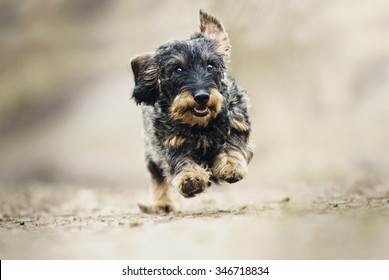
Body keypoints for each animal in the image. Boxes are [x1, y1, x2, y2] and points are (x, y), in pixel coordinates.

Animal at [129, 9, 253, 213]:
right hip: (151, 154)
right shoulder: (170, 143)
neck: (202, 125)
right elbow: (181, 161)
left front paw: (231, 166)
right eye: (178, 69)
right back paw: (162, 203)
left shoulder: (237, 125)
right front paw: (190, 179)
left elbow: (232, 146)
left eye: (210, 65)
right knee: (157, 178)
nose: (202, 96)